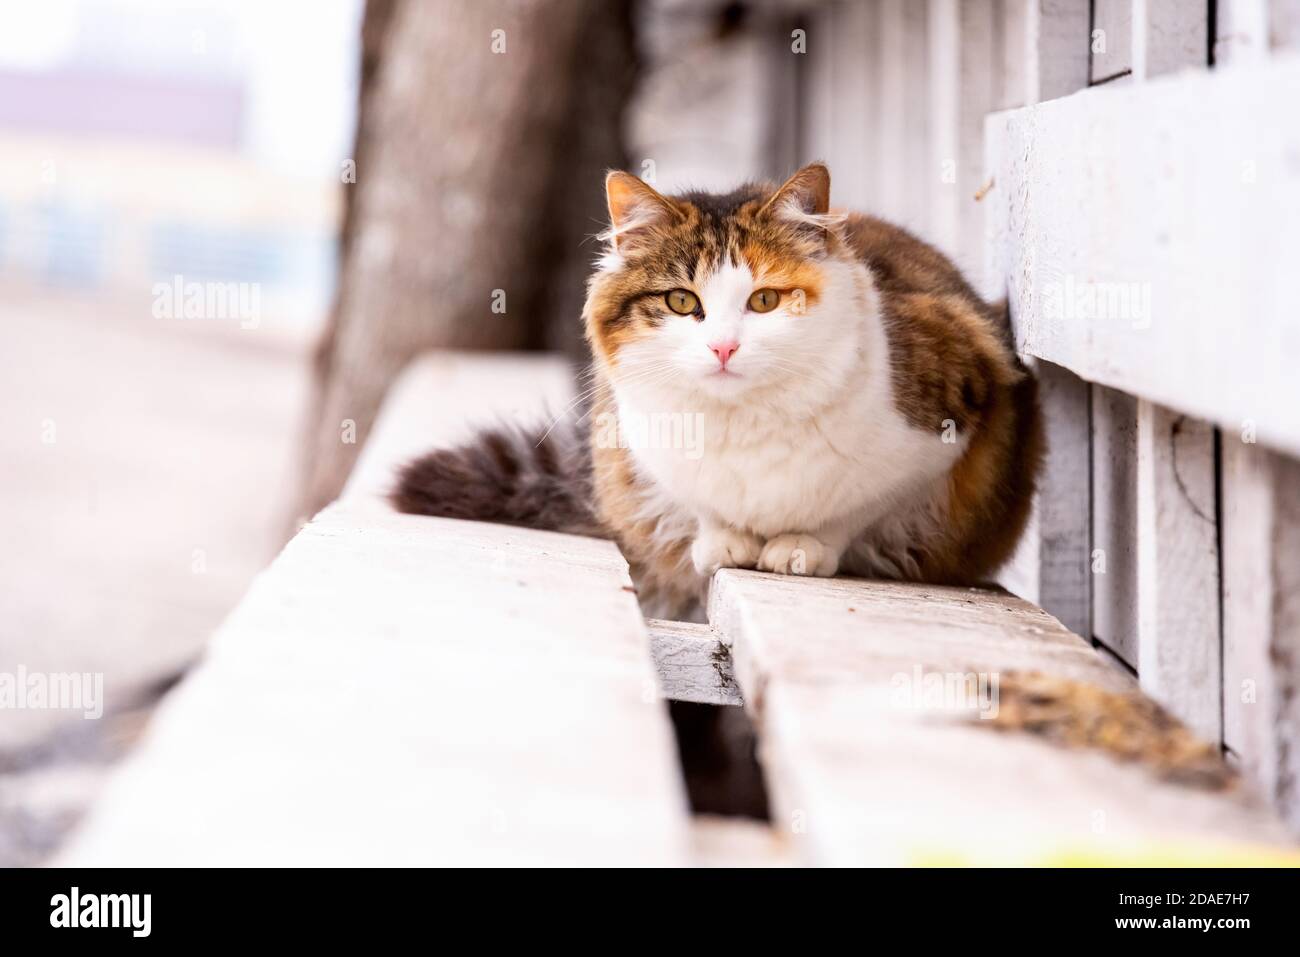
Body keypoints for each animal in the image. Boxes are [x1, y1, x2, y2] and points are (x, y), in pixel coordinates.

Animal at [390, 162, 1040, 621]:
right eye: (682, 301)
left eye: (765, 300)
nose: (724, 348)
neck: (741, 421)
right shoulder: (646, 448)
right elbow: (704, 505)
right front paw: (725, 542)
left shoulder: (938, 440)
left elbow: (850, 510)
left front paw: (802, 546)